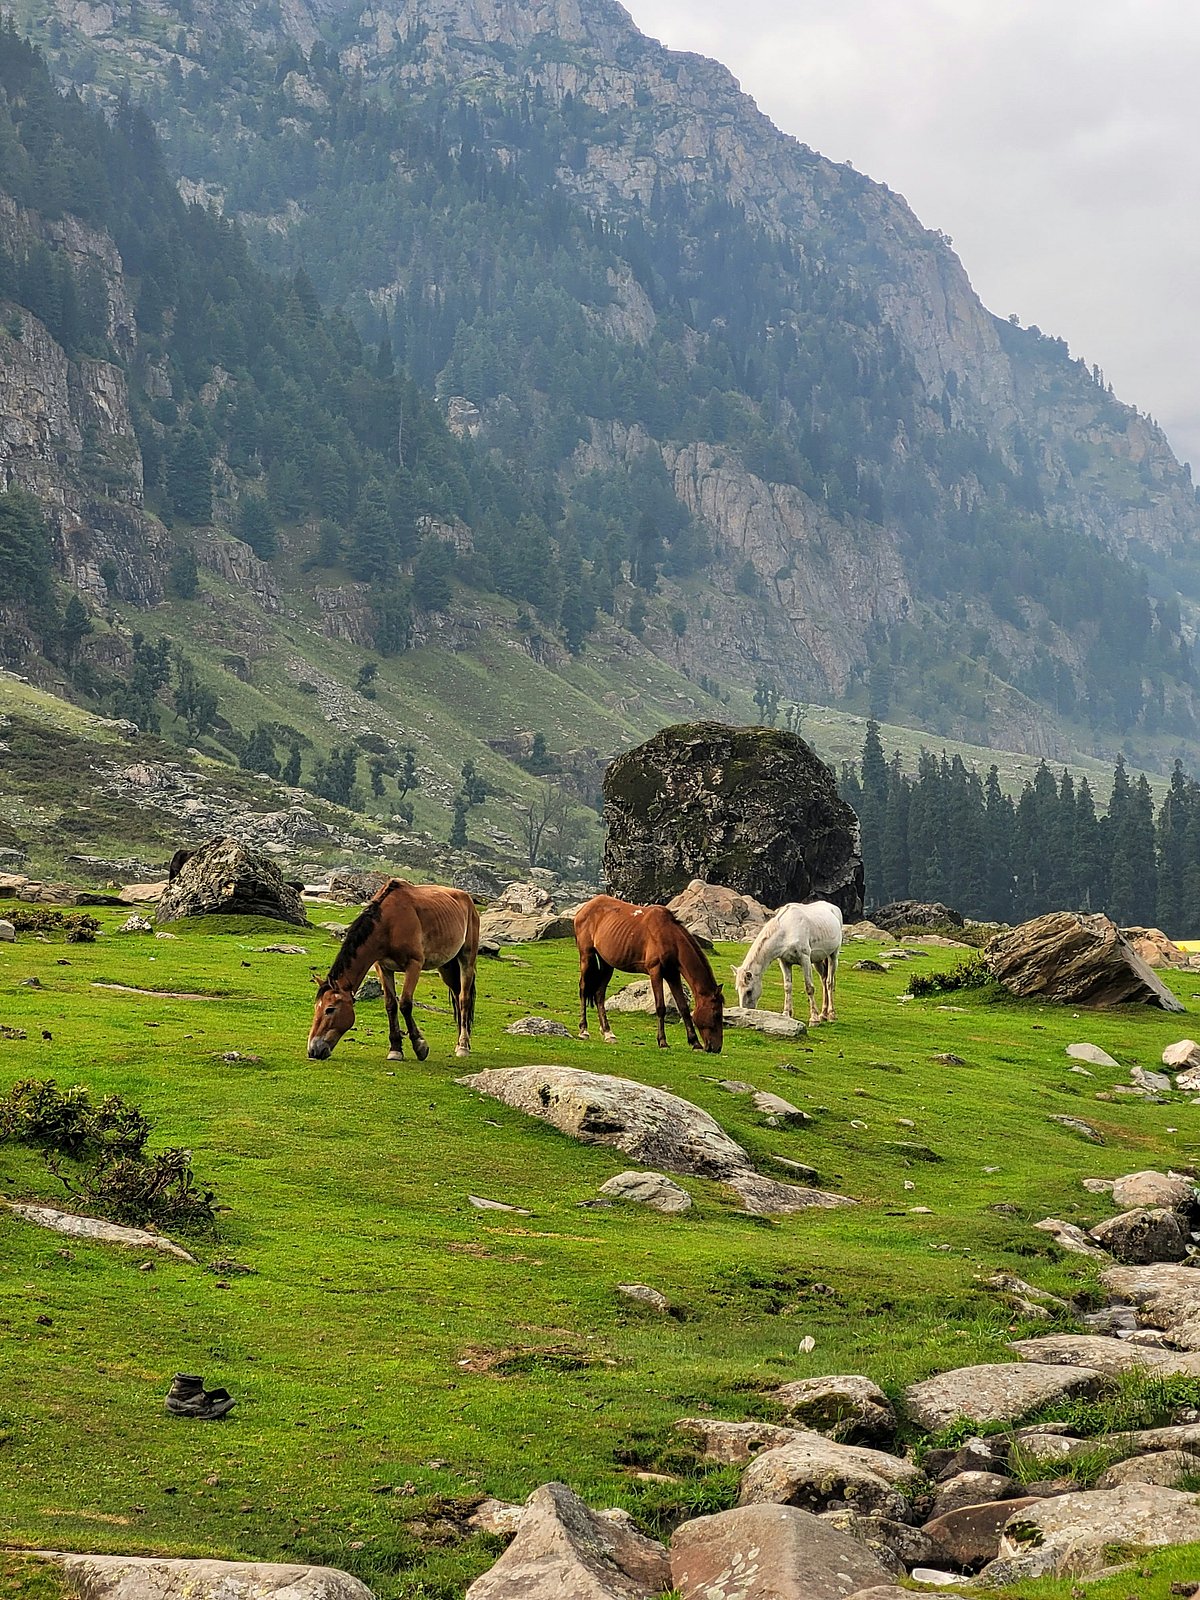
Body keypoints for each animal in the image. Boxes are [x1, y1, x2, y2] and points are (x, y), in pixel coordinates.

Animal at [306, 879, 480, 1062]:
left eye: (330, 1009)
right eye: (316, 1007)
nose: (313, 1050)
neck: (389, 923)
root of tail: (467, 899)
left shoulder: (414, 965)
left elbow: (405, 1004)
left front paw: (420, 1046)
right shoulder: (383, 967)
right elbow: (390, 1004)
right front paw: (395, 1049)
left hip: (466, 960)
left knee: (464, 999)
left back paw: (463, 1046)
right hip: (446, 967)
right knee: (457, 997)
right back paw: (460, 1042)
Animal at [574, 893, 724, 1052]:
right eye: (716, 1014)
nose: (716, 1048)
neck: (669, 936)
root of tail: (585, 907)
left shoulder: (672, 974)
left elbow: (683, 1008)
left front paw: (695, 1042)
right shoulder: (655, 971)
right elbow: (660, 1007)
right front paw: (662, 1041)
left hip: (607, 964)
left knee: (599, 995)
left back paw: (608, 1033)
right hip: (586, 956)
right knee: (583, 989)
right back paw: (584, 1030)